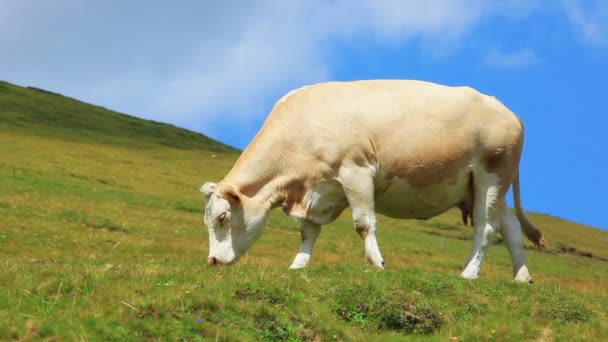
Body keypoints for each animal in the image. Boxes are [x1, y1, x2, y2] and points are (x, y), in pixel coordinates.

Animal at [201, 79, 548, 282]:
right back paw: (522, 277)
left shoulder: (356, 171)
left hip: (492, 176)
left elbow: (364, 223)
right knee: (511, 228)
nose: (212, 261)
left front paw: (376, 263)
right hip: (485, 186)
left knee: (486, 228)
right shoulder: (321, 188)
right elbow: (308, 232)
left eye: (222, 218)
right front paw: (297, 266)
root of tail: (507, 111)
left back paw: (469, 273)